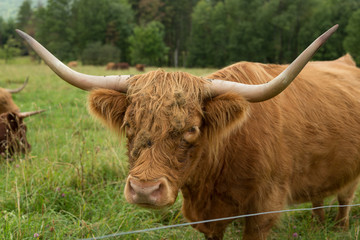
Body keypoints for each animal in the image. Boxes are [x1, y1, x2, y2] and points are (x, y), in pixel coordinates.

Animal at [18, 25, 356, 239]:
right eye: (128, 125)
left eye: (192, 128)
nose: (144, 190)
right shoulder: (209, 218)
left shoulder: (263, 211)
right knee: (319, 198)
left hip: (351, 177)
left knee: (345, 199)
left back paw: (338, 229)